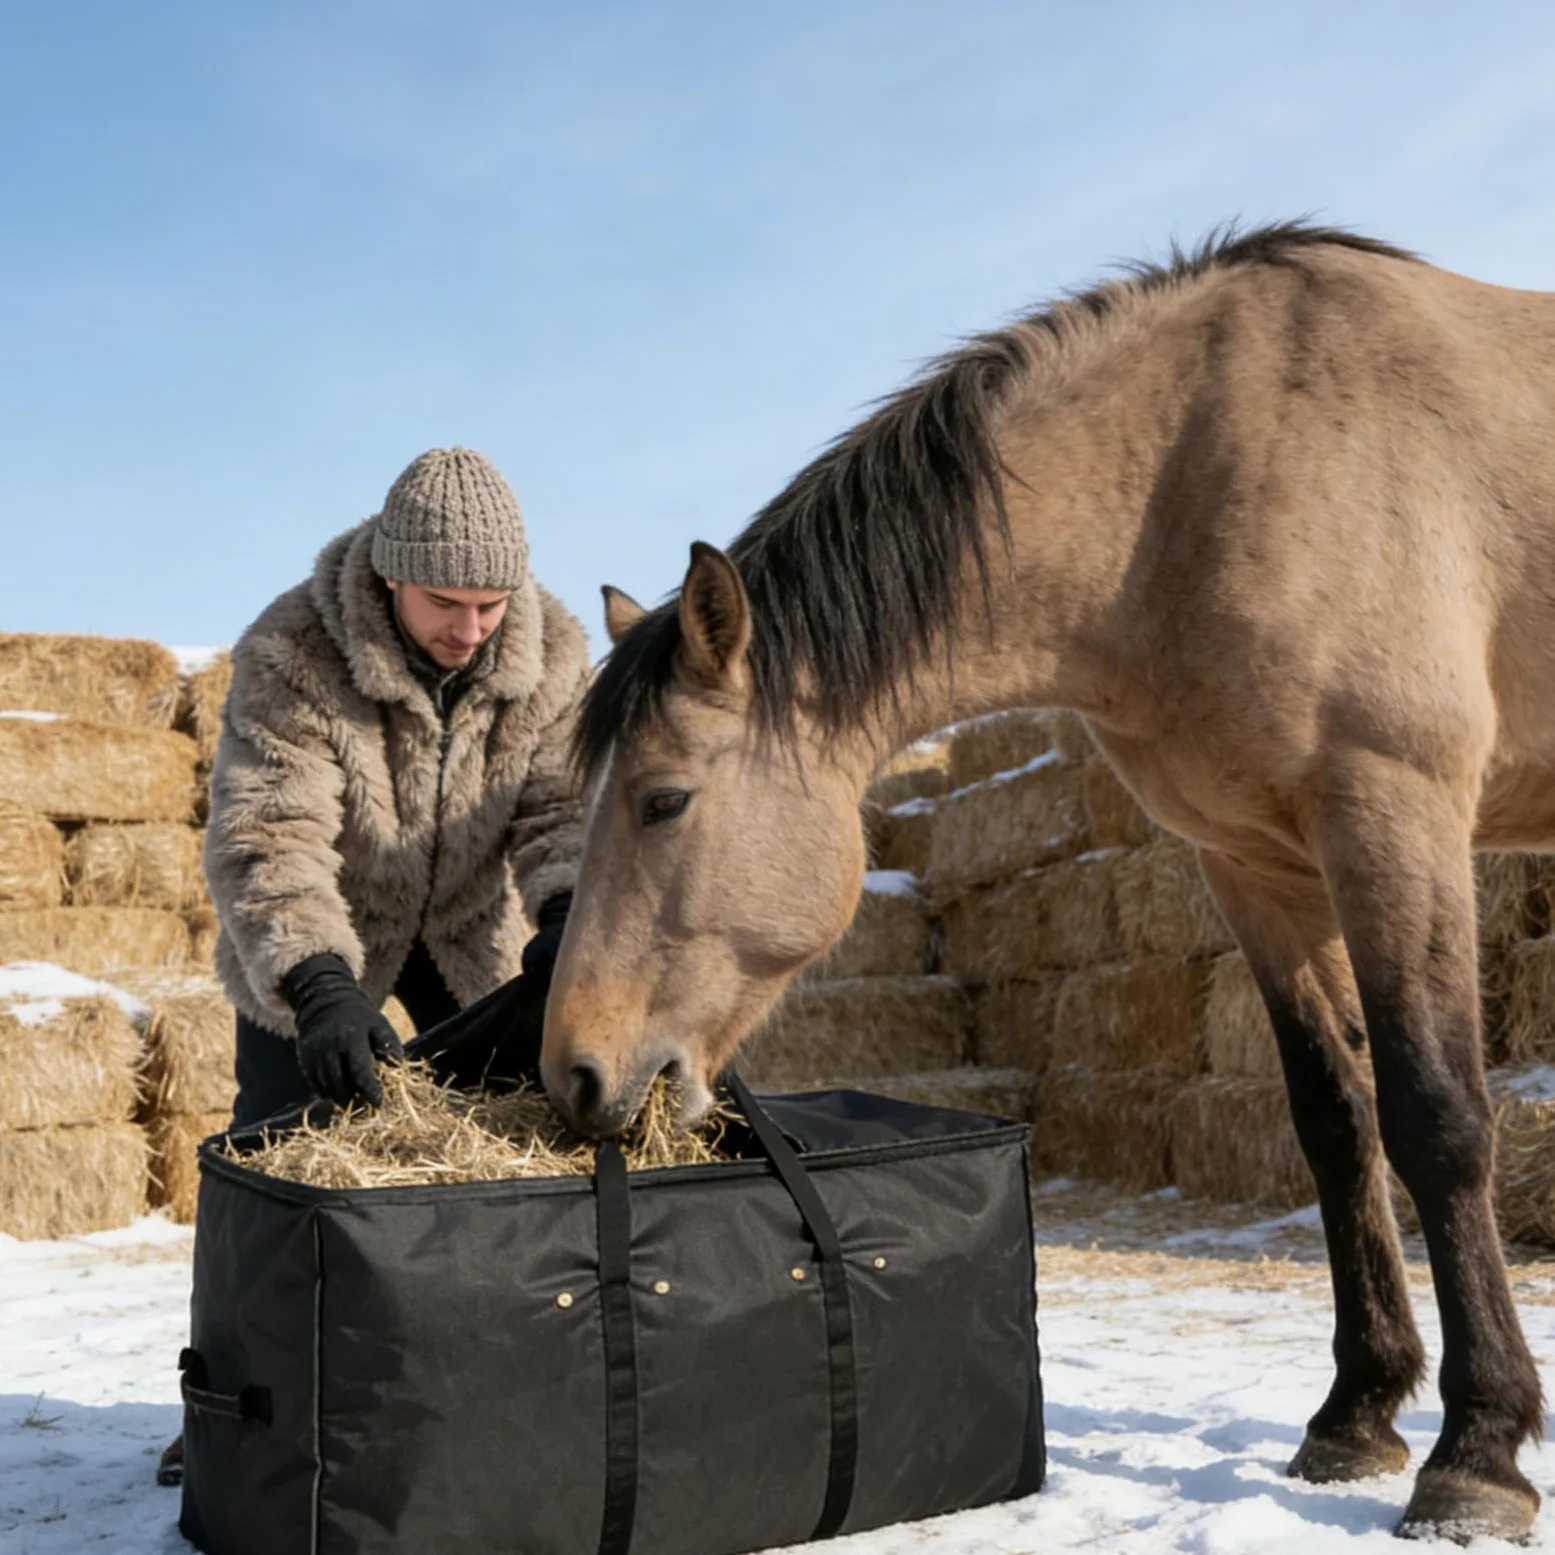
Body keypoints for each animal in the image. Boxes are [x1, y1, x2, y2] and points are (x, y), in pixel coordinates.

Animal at [544, 222, 1555, 1542]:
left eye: (663, 800)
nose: (574, 1071)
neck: (1202, 467)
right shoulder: (1252, 862)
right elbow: (1334, 1122)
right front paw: (1355, 1413)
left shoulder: (1393, 812)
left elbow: (1435, 1117)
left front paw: (1477, 1451)